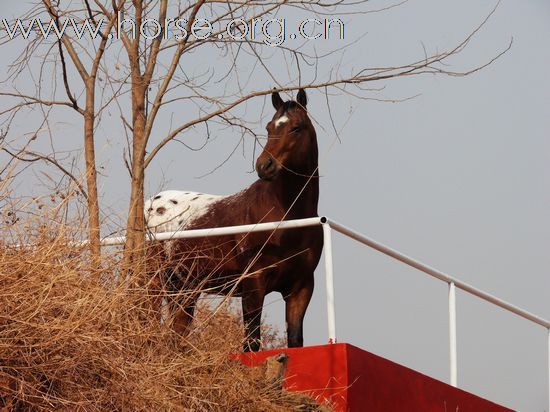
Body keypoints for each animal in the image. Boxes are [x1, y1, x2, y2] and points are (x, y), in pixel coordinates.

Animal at [146, 89, 324, 350]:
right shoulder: (253, 284)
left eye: (296, 128)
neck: (288, 222)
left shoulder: (300, 287)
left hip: (184, 290)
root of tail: (152, 204)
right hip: (155, 283)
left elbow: (295, 341)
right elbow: (251, 342)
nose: (264, 165)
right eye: (269, 127)